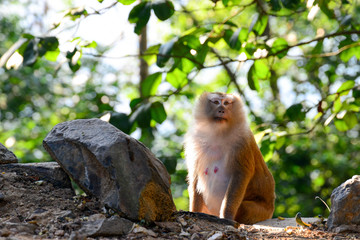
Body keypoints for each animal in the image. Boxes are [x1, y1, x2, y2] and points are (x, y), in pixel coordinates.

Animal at [184, 92, 274, 225]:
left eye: (226, 103)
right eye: (216, 102)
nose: (222, 110)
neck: (218, 133)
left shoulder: (242, 140)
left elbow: (240, 175)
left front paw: (226, 216)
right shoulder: (194, 142)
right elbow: (195, 178)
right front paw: (193, 212)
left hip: (262, 213)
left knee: (245, 208)